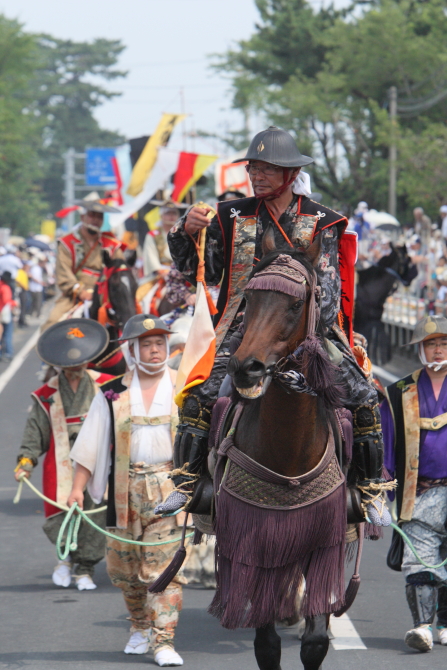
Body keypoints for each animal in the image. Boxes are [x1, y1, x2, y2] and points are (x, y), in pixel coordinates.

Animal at [215, 240, 348, 670]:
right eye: (250, 299)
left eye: (294, 305)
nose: (247, 367)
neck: (289, 453)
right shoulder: (257, 544)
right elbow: (267, 645)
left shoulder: (323, 540)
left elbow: (316, 642)